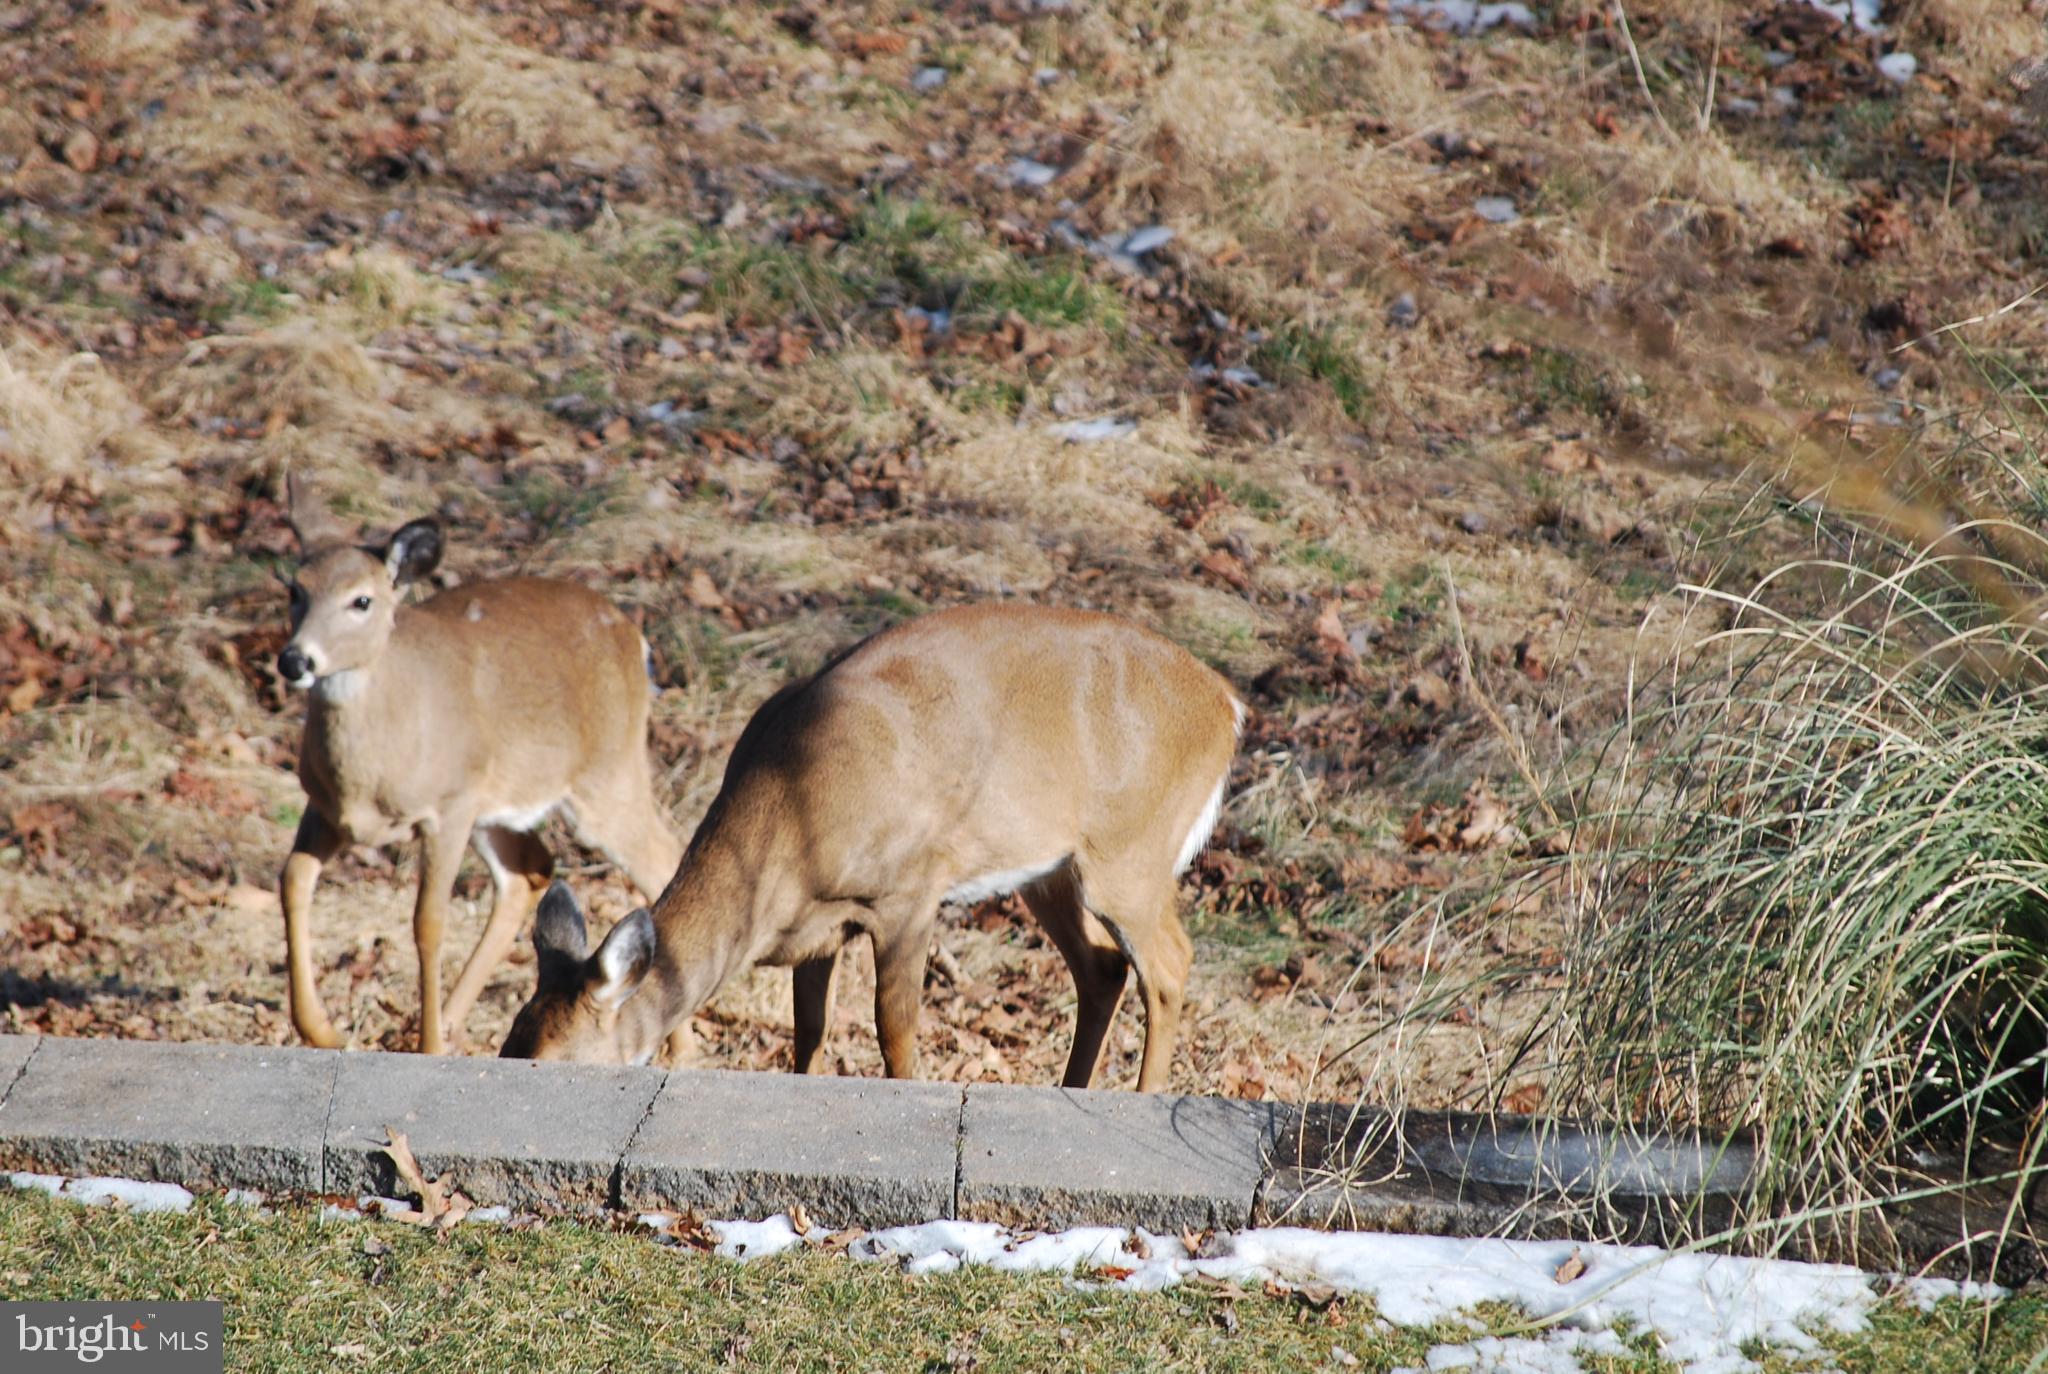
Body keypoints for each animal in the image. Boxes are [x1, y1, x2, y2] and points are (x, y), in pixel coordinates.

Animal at [275, 476, 683, 1055]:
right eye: (295, 589)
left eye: (361, 600)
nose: (295, 660)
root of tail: (635, 637)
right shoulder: (325, 807)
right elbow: (293, 879)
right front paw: (321, 1029)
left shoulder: (448, 806)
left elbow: (428, 922)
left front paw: (428, 1046)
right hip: (500, 803)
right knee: (530, 871)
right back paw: (452, 1019)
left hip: (606, 772)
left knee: (662, 857)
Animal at [498, 602, 1245, 1092]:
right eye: (509, 1043)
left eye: (552, 1063)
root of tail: (1227, 704)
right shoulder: (818, 929)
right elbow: (810, 1031)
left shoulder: (909, 891)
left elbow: (895, 1030)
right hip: (1049, 868)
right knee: (1103, 967)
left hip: (1129, 848)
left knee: (1168, 963)